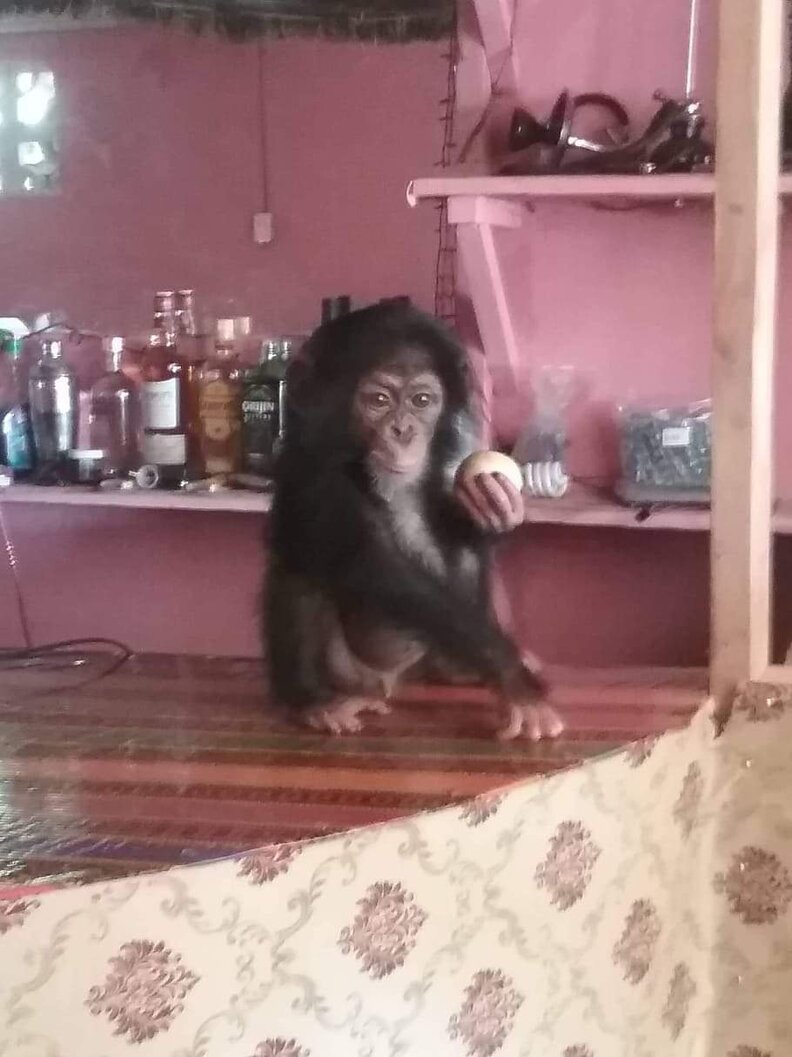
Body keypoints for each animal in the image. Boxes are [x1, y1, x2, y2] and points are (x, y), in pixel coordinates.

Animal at [265, 301, 564, 741]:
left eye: (422, 400)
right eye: (378, 400)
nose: (402, 430)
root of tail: (391, 683)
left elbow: (449, 523)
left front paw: (493, 511)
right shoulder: (317, 476)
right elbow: (378, 567)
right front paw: (514, 678)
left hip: (423, 660)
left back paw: (456, 671)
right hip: (351, 672)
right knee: (298, 572)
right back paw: (314, 703)